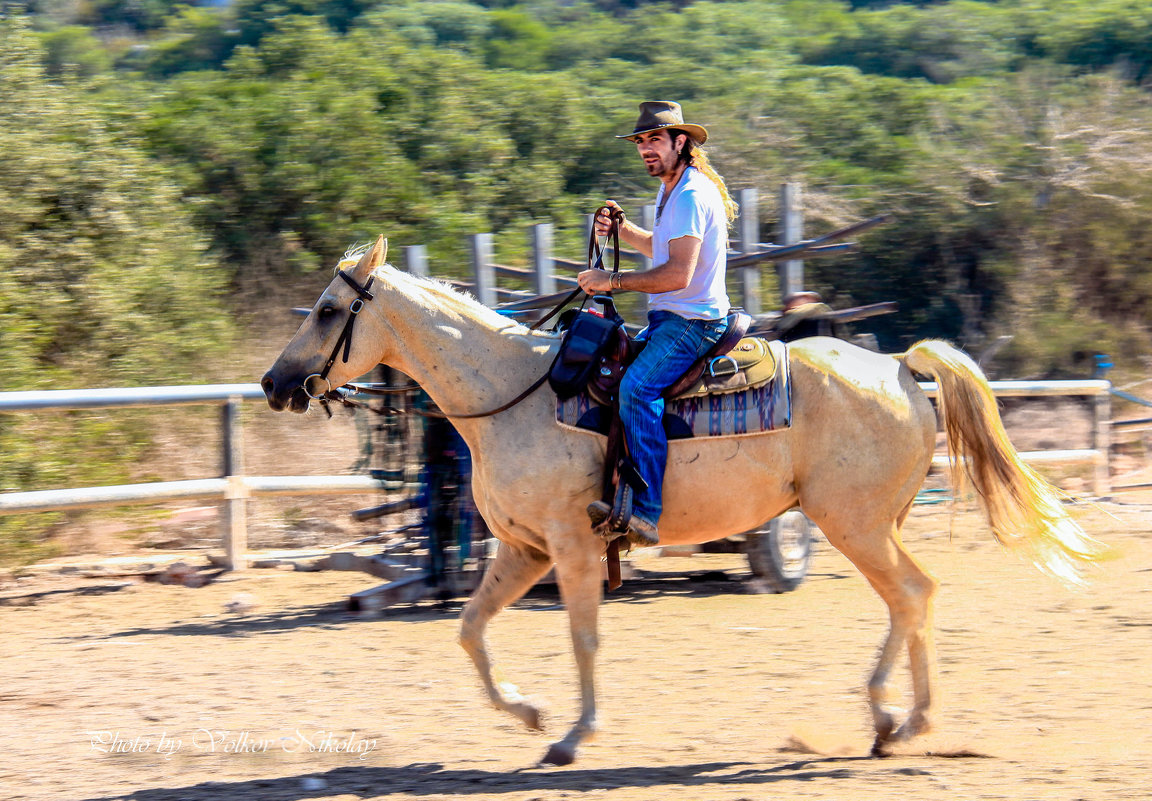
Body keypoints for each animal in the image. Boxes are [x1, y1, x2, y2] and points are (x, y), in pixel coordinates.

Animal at [261, 236, 1105, 765]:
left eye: (329, 310)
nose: (274, 383)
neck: (515, 393)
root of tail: (900, 367)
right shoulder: (522, 548)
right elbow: (470, 630)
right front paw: (530, 712)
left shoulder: (572, 547)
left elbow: (584, 639)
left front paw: (574, 734)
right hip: (874, 522)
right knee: (914, 598)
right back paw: (895, 720)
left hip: (855, 523)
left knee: (913, 594)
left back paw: (899, 718)